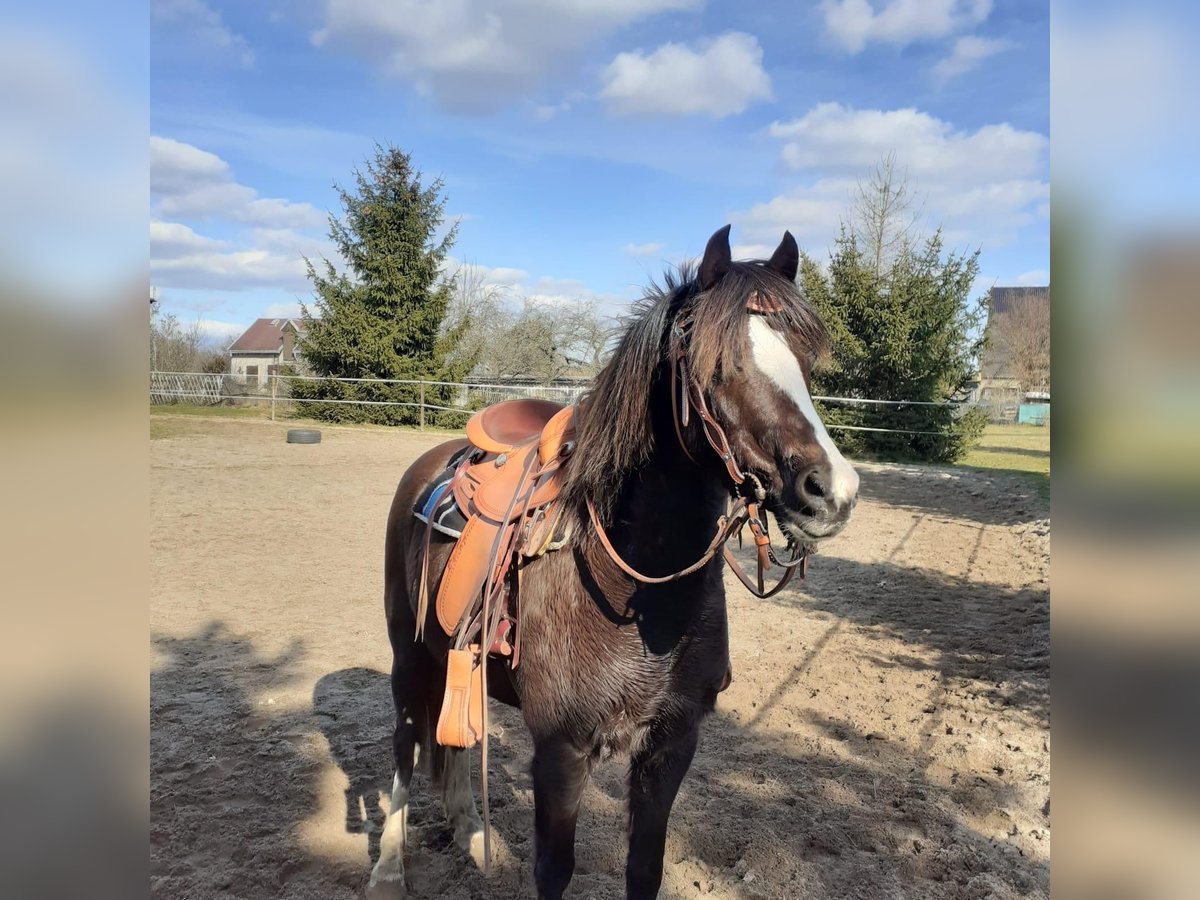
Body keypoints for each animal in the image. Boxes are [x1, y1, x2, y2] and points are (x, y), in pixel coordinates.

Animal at [369, 226, 859, 900]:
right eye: (716, 365)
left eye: (808, 364)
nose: (832, 491)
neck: (629, 582)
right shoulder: (560, 751)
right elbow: (554, 871)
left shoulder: (671, 745)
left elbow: (644, 869)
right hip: (408, 653)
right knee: (406, 744)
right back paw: (388, 868)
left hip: (453, 653)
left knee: (457, 736)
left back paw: (471, 834)